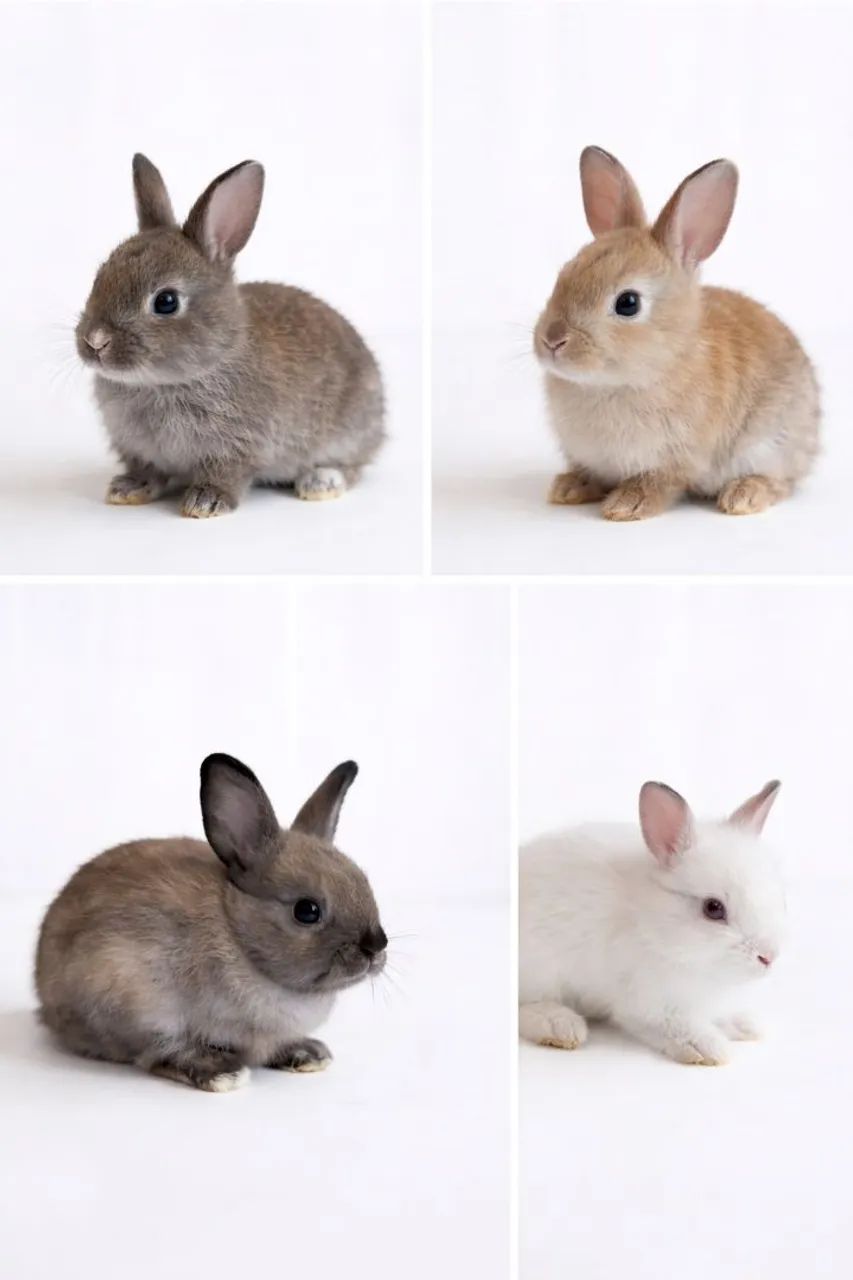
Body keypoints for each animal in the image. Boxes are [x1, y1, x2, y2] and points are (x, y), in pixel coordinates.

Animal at [35, 753, 387, 1091]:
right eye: (307, 911)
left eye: (364, 883)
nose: (376, 946)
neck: (236, 931)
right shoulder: (136, 1002)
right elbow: (162, 1051)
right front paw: (222, 1073)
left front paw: (308, 1053)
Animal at [75, 154, 385, 518]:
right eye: (100, 277)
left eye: (166, 301)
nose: (95, 341)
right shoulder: (137, 448)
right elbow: (146, 469)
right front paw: (128, 489)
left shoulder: (239, 446)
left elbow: (227, 474)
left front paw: (205, 503)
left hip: (349, 430)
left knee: (352, 466)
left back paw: (321, 482)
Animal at [519, 780, 784, 1065]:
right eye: (713, 909)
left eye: (775, 894)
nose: (768, 957)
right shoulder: (648, 1003)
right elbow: (674, 1025)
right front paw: (708, 1048)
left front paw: (745, 1026)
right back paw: (560, 1025)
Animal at [534, 147, 819, 520]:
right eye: (564, 275)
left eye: (628, 303)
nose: (552, 340)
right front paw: (569, 488)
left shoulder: (678, 459)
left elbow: (659, 483)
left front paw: (626, 505)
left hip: (772, 441)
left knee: (780, 482)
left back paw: (743, 496)